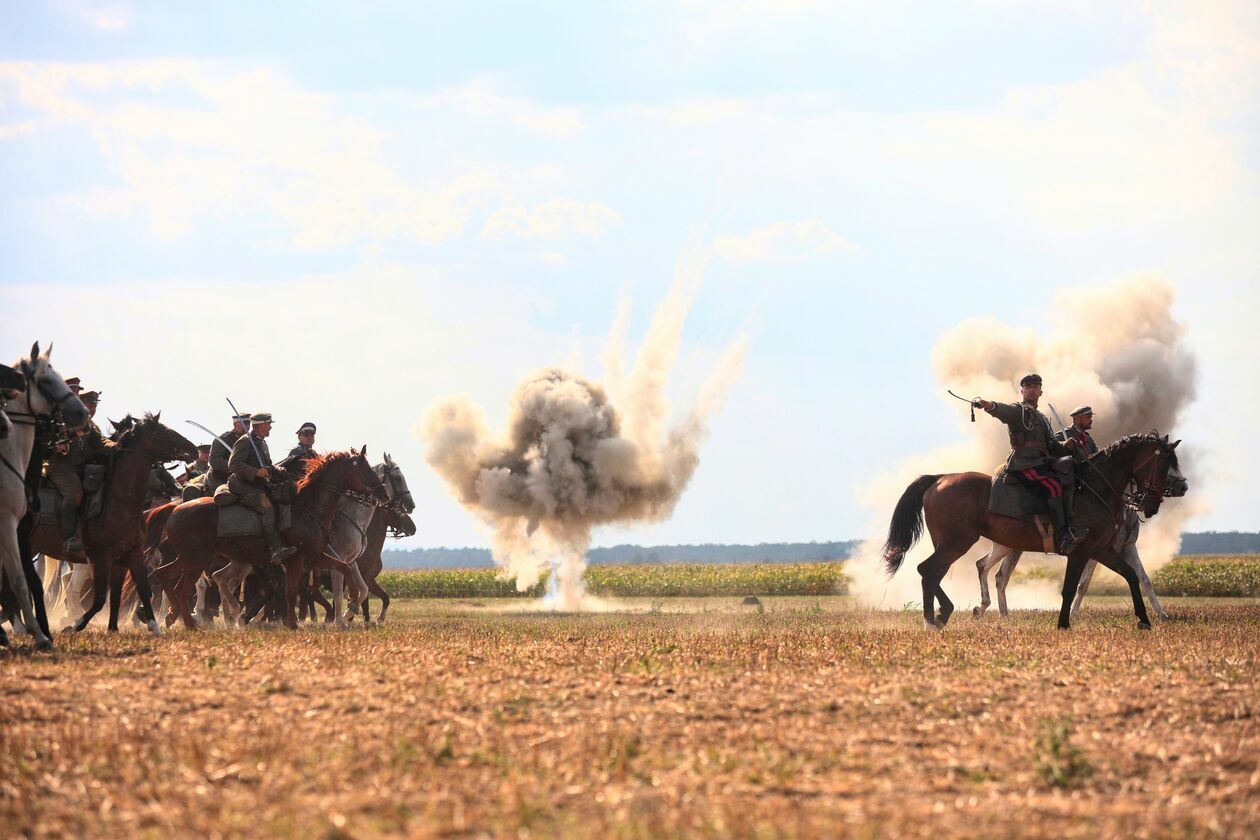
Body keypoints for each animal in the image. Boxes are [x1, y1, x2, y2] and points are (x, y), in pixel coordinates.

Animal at [0, 342, 86, 649]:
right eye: (46, 380)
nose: (82, 413)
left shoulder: (21, 534)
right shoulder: (9, 526)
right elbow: (20, 580)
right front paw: (39, 633)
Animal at [155, 450, 385, 627]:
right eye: (365, 469)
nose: (383, 493)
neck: (307, 510)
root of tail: (175, 510)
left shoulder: (316, 557)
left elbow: (345, 570)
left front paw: (351, 604)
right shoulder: (295, 561)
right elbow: (291, 592)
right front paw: (292, 624)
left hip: (190, 559)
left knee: (167, 576)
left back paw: (181, 618)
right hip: (197, 561)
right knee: (184, 588)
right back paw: (193, 623)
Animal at [887, 433, 1179, 629]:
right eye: (1163, 466)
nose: (1152, 505)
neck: (1096, 487)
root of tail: (940, 479)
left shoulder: (1103, 550)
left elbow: (1131, 576)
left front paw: (1144, 620)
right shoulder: (1081, 550)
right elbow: (1070, 587)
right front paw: (1064, 624)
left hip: (957, 544)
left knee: (937, 572)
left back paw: (943, 615)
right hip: (957, 543)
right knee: (930, 570)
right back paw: (935, 618)